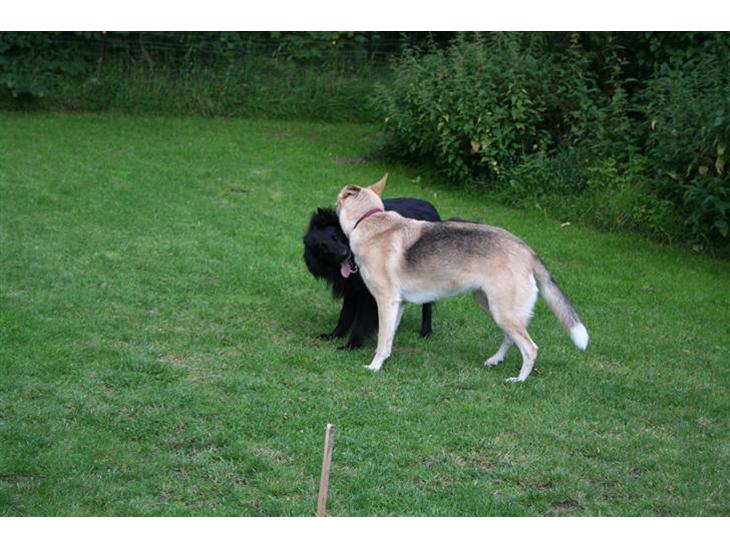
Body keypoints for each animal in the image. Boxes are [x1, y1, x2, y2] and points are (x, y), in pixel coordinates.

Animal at [304, 198, 441, 349]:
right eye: (323, 248)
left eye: (335, 236)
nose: (344, 255)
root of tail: (430, 206)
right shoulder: (352, 290)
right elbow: (345, 315)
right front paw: (334, 335)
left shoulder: (369, 294)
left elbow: (361, 321)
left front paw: (352, 345)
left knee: (427, 305)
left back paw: (426, 332)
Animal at [335, 174, 589, 382]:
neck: (368, 221)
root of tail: (527, 251)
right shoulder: (399, 304)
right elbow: (388, 338)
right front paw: (386, 360)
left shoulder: (385, 302)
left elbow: (382, 341)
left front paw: (375, 366)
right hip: (493, 308)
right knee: (510, 339)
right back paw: (495, 360)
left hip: (502, 312)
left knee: (530, 348)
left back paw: (519, 380)